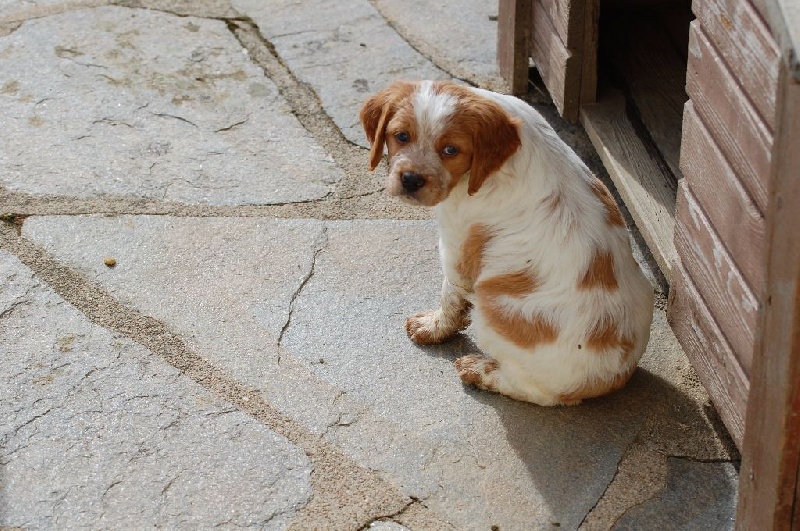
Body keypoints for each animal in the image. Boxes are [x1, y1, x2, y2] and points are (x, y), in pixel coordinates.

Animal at [360, 80, 654, 405]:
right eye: (401, 136)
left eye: (451, 150)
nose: (411, 180)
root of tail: (613, 377)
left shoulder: (458, 245)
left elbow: (450, 297)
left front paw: (431, 327)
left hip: (492, 312)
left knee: (536, 391)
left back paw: (479, 370)